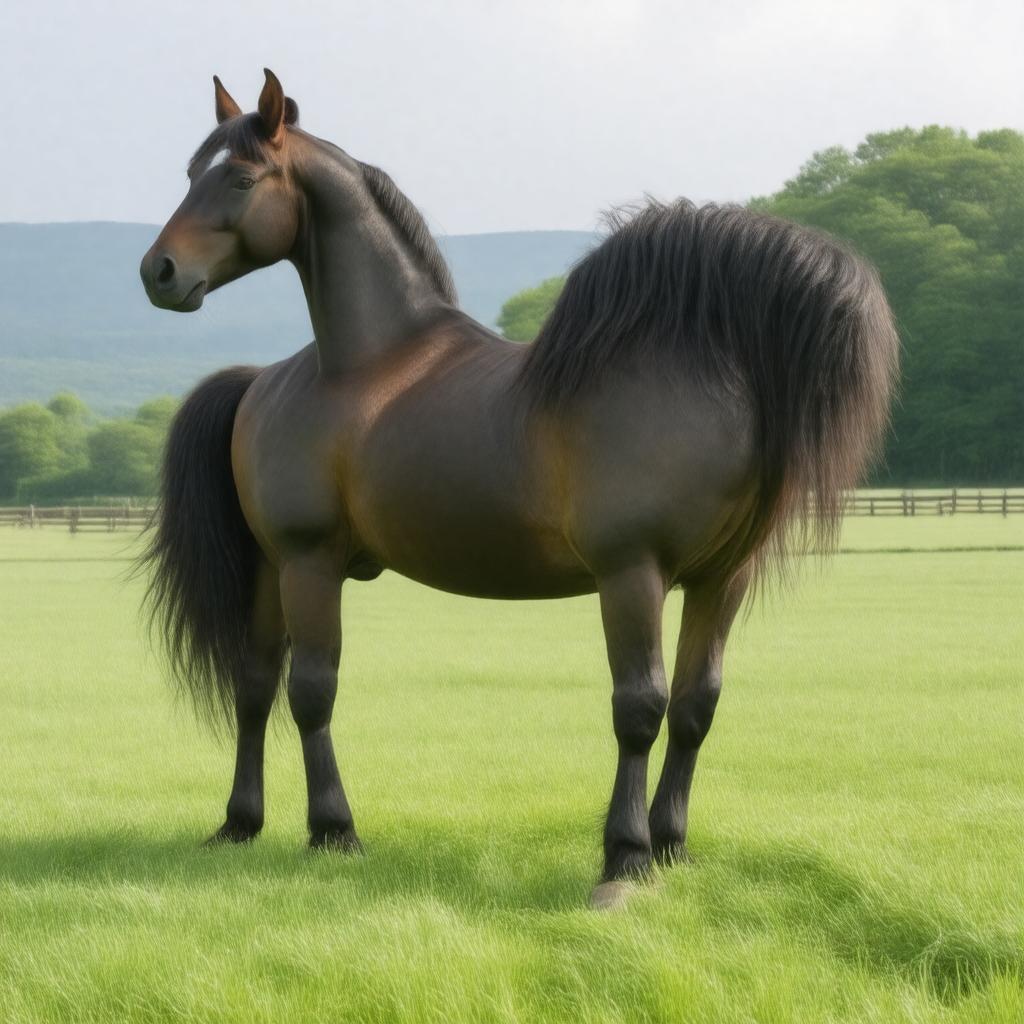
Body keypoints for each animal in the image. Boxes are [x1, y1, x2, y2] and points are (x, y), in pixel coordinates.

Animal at [139, 69, 898, 908]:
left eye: (239, 179)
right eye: (195, 174)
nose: (158, 271)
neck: (363, 364)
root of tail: (262, 380)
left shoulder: (717, 581)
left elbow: (695, 706)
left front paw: (669, 847)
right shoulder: (630, 574)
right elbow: (639, 707)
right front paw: (624, 857)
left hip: (280, 568)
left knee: (256, 684)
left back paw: (243, 824)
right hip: (300, 564)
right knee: (303, 690)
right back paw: (330, 829)